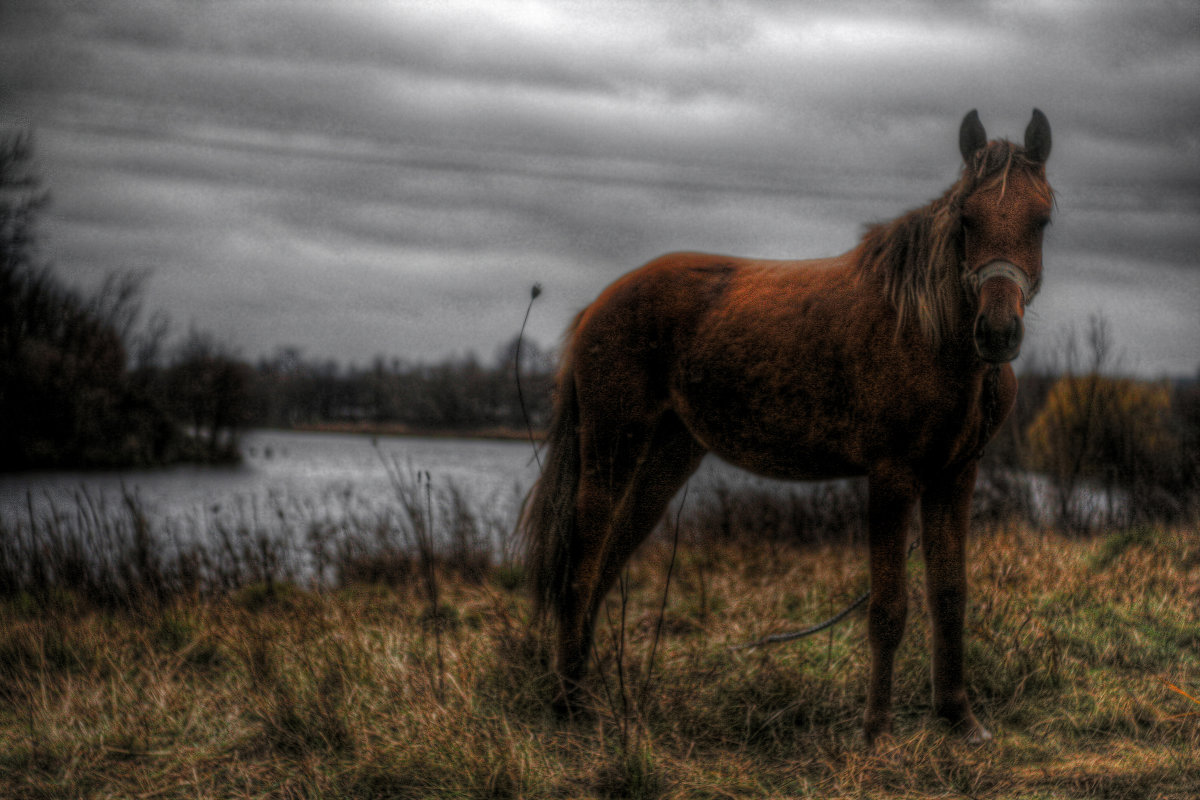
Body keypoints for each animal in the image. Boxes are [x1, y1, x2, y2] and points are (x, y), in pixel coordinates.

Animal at [520, 107, 1056, 743]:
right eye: (968, 219)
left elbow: (949, 595)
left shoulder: (955, 476)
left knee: (605, 564)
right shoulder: (893, 478)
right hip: (610, 450)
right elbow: (888, 608)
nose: (998, 332)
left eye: (1043, 220)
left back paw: (586, 692)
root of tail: (598, 308)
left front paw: (958, 717)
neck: (928, 331)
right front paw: (876, 731)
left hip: (667, 457)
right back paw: (569, 704)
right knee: (580, 565)